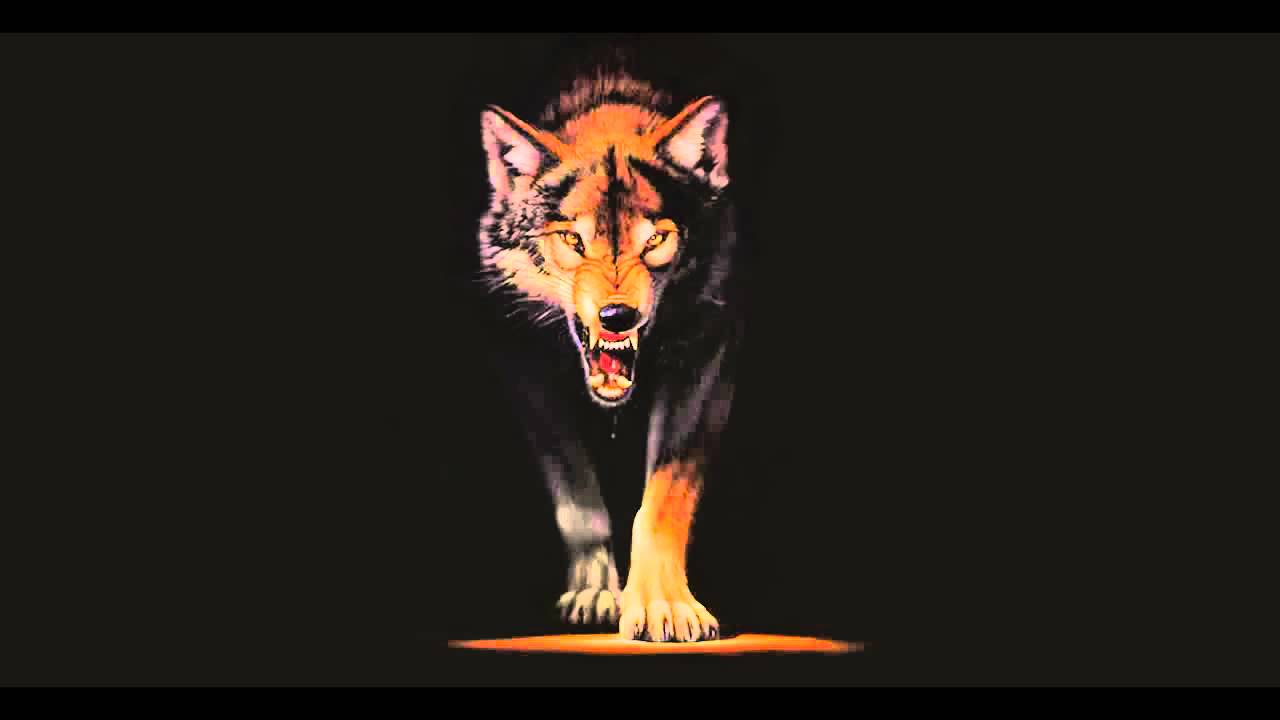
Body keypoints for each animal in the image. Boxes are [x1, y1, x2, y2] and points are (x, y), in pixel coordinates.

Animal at [475, 69, 742, 642]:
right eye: (573, 240)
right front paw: (597, 592)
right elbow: (578, 498)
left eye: (657, 238)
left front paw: (665, 604)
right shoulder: (519, 358)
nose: (617, 316)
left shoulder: (708, 353)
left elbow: (663, 498)